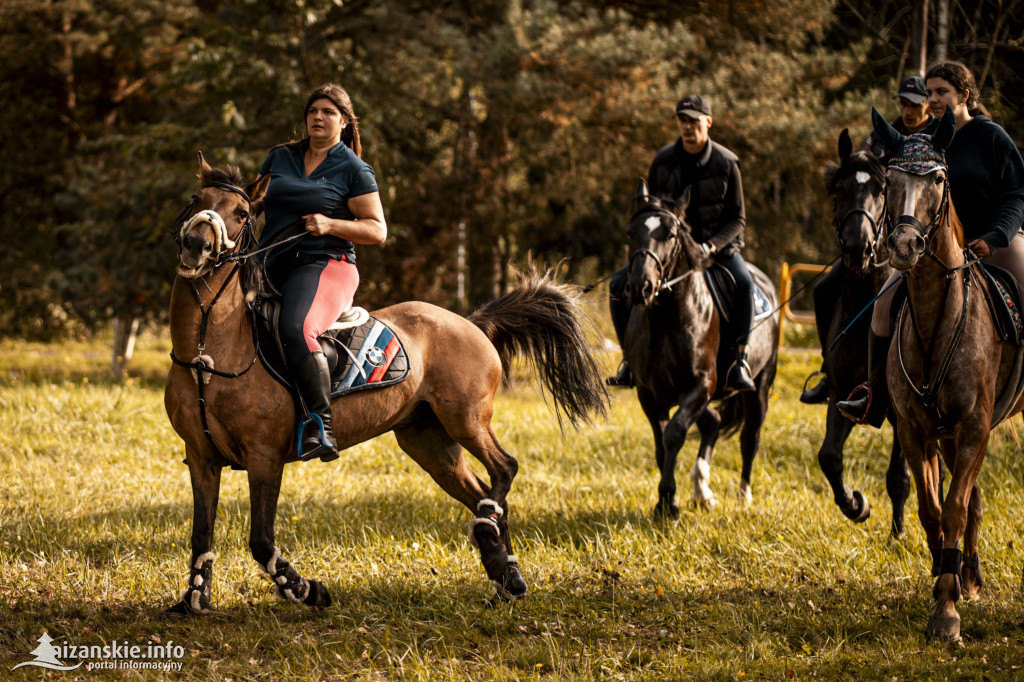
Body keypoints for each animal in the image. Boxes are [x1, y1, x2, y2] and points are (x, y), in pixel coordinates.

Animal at [161, 156, 606, 614]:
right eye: (196, 198)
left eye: (241, 213)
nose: (196, 244)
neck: (209, 352)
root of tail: (472, 322)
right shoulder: (201, 459)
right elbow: (201, 533)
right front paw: (195, 597)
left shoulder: (264, 457)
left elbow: (261, 541)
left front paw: (306, 589)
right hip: (428, 442)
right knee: (482, 489)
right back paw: (506, 573)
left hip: (467, 420)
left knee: (505, 468)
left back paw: (491, 541)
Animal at [618, 180, 778, 516]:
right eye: (630, 232)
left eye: (670, 235)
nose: (640, 286)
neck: (666, 320)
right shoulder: (650, 394)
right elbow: (660, 443)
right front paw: (666, 501)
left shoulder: (701, 384)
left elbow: (674, 434)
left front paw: (668, 500)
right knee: (713, 422)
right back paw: (702, 490)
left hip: (759, 385)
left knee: (750, 438)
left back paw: (743, 495)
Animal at [872, 107, 1024, 638]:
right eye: (888, 180)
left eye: (938, 179)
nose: (903, 244)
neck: (937, 320)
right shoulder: (916, 430)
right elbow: (932, 508)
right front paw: (947, 579)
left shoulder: (974, 426)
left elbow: (955, 507)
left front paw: (945, 611)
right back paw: (968, 575)